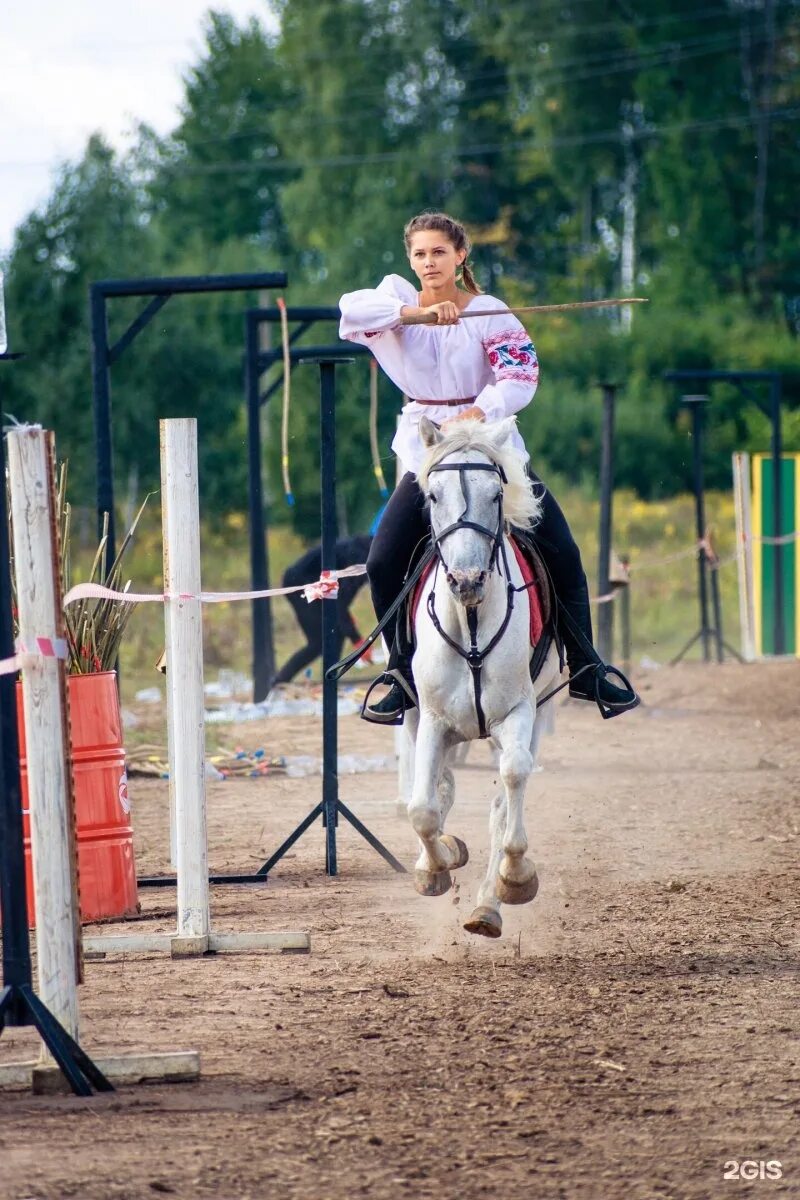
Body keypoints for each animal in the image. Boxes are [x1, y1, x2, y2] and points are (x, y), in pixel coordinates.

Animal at [398, 417, 561, 940]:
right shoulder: (431, 718)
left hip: (533, 718)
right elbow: (422, 808)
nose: (467, 582)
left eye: (496, 494)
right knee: (437, 788)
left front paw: (515, 877)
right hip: (416, 719)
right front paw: (434, 868)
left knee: (502, 797)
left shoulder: (518, 714)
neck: (470, 623)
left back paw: (487, 908)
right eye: (433, 495)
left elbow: (510, 786)